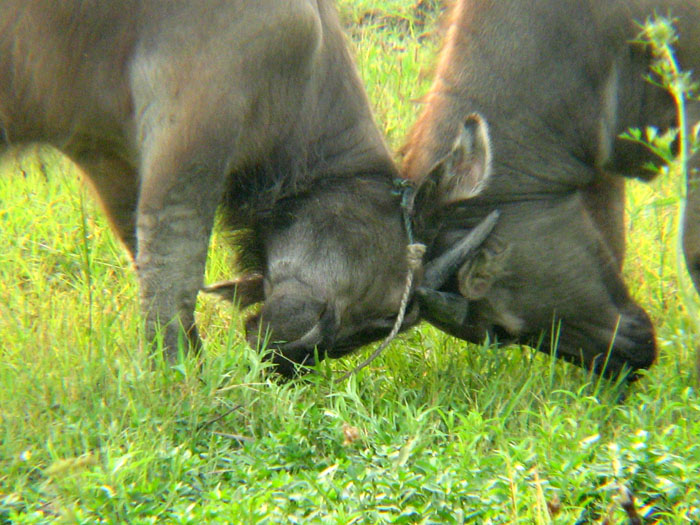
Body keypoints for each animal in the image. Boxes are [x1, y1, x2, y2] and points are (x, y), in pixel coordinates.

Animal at [1, 1, 492, 376]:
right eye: (388, 313)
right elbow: (174, 269)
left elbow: (144, 256)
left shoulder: (107, 156)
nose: (289, 363)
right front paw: (181, 380)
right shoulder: (193, 128)